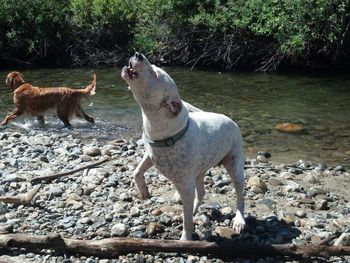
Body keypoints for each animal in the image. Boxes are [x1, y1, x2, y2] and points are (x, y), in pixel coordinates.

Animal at [121, 53, 245, 241]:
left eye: (155, 74)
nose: (138, 54)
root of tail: (230, 119)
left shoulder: (186, 187)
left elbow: (187, 221)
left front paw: (186, 239)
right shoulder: (150, 154)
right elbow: (136, 171)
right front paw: (143, 191)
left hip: (234, 165)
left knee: (240, 196)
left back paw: (239, 220)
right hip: (199, 172)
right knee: (201, 193)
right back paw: (195, 209)